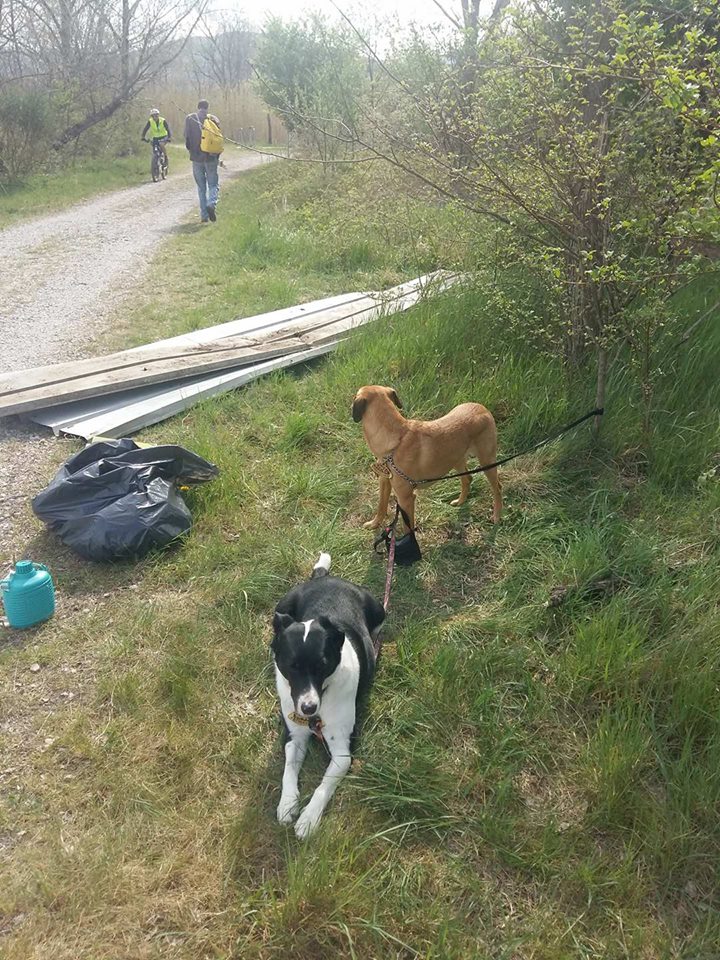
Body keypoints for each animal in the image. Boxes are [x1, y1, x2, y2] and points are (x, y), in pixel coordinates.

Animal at [272, 556, 386, 840]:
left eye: (322, 666)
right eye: (291, 667)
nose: (308, 707)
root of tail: (326, 577)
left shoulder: (343, 752)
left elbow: (324, 786)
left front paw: (308, 819)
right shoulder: (294, 737)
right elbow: (288, 771)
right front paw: (287, 803)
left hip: (378, 608)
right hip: (282, 604)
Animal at [352, 384, 500, 532]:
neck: (396, 440)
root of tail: (481, 407)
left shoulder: (406, 498)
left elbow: (408, 528)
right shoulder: (384, 482)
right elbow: (381, 506)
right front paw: (374, 524)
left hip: (487, 461)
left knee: (497, 487)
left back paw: (496, 516)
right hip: (456, 459)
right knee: (467, 479)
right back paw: (460, 501)